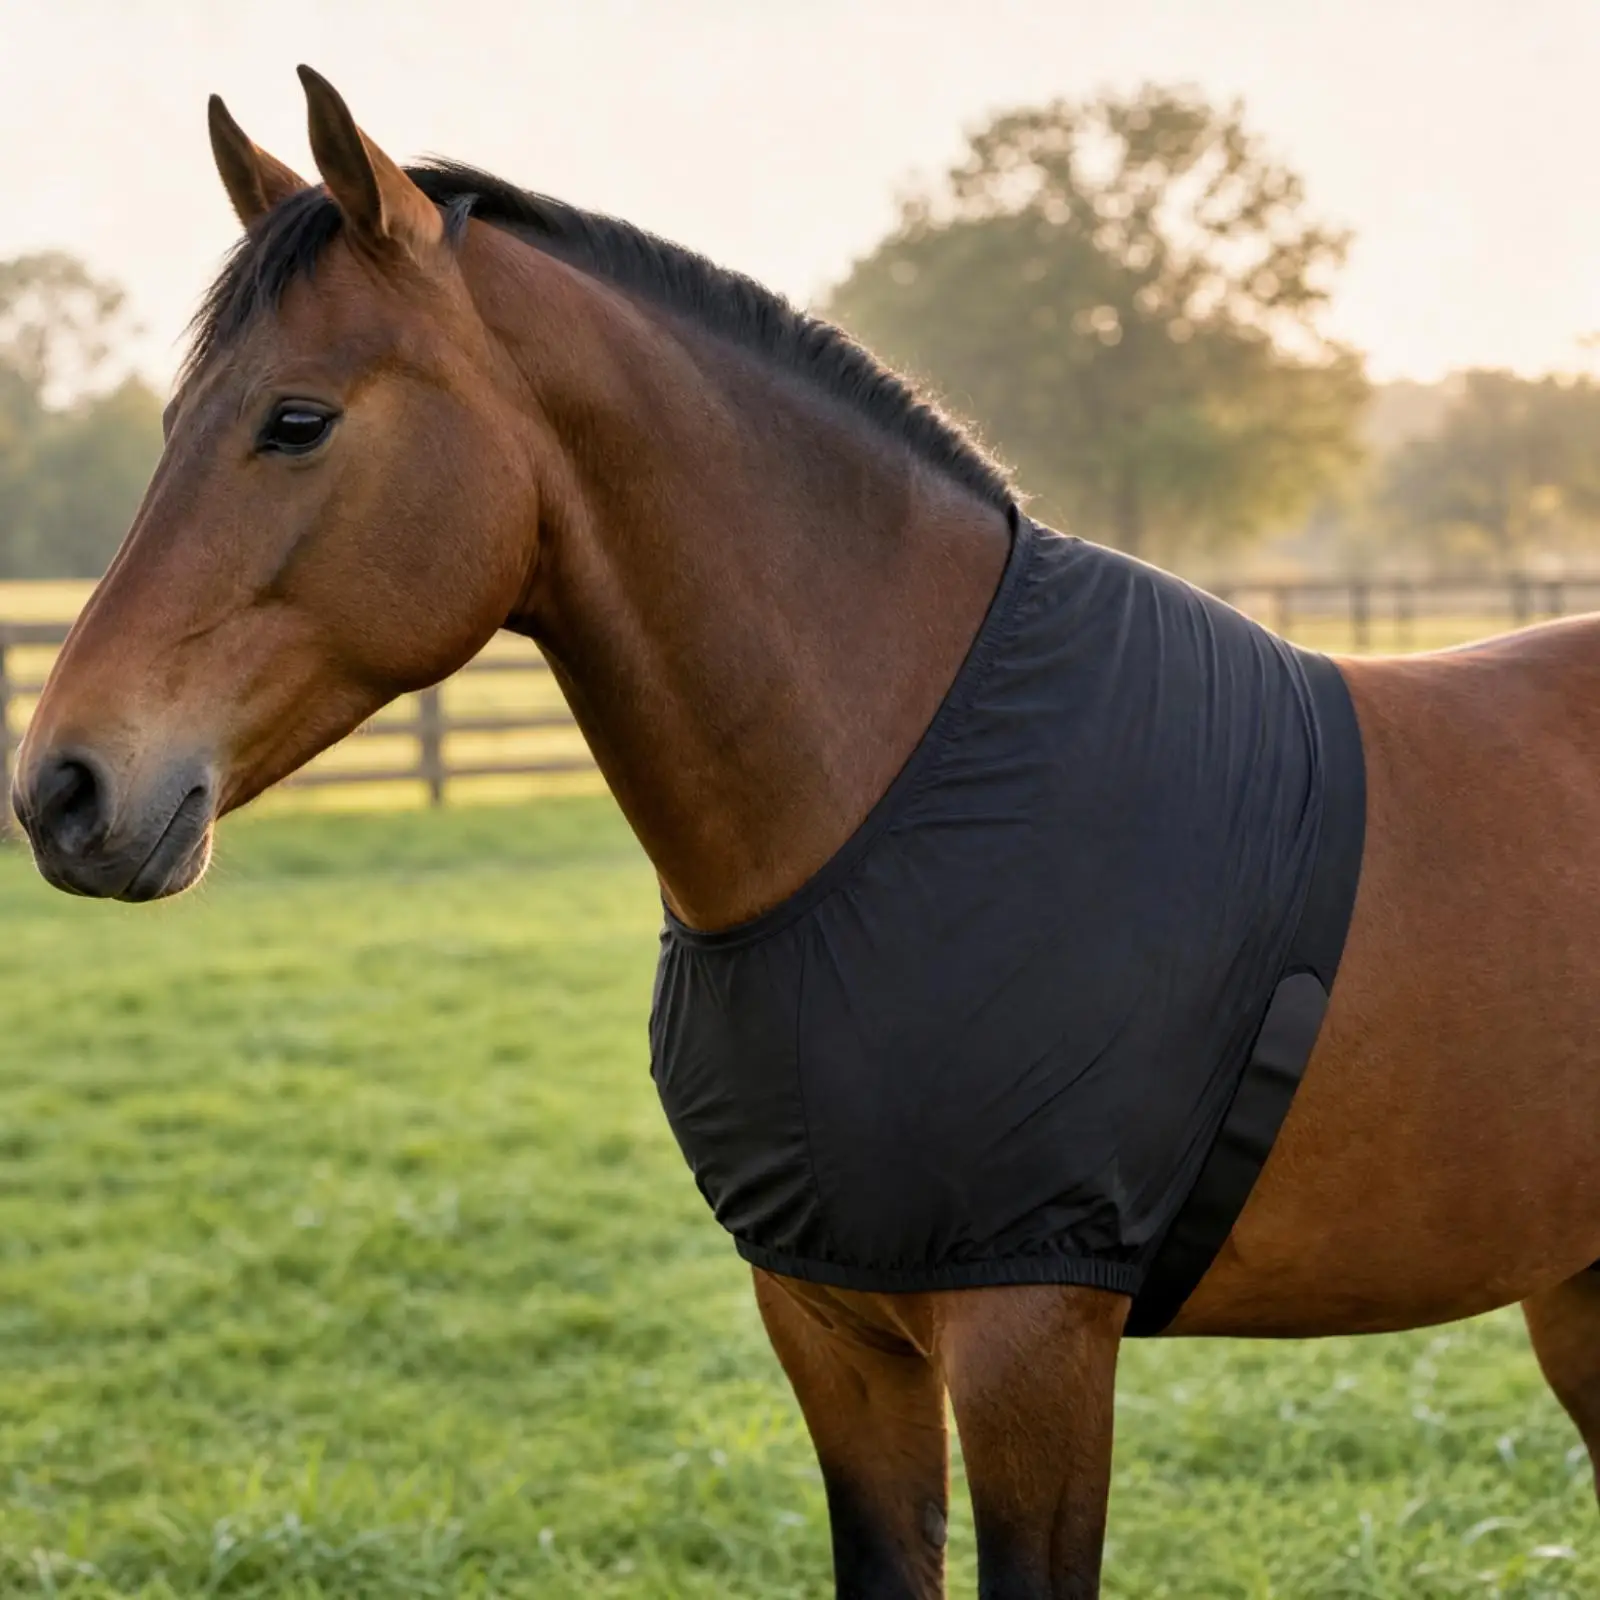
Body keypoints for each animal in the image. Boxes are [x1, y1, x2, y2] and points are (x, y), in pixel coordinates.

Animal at [13, 68, 1600, 1600]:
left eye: (295, 420)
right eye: (169, 426)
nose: (61, 790)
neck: (890, 804)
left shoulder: (1033, 1336)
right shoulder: (832, 1327)